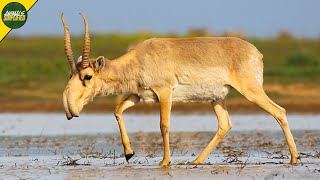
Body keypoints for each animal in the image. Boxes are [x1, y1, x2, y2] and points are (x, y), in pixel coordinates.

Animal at [62, 13, 300, 166]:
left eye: (87, 76)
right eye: (70, 74)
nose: (69, 108)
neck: (139, 58)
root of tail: (256, 52)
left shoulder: (164, 93)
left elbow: (164, 125)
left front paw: (165, 161)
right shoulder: (139, 95)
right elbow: (117, 110)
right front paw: (129, 153)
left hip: (251, 91)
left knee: (279, 111)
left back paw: (294, 158)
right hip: (217, 99)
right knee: (225, 124)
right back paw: (196, 160)